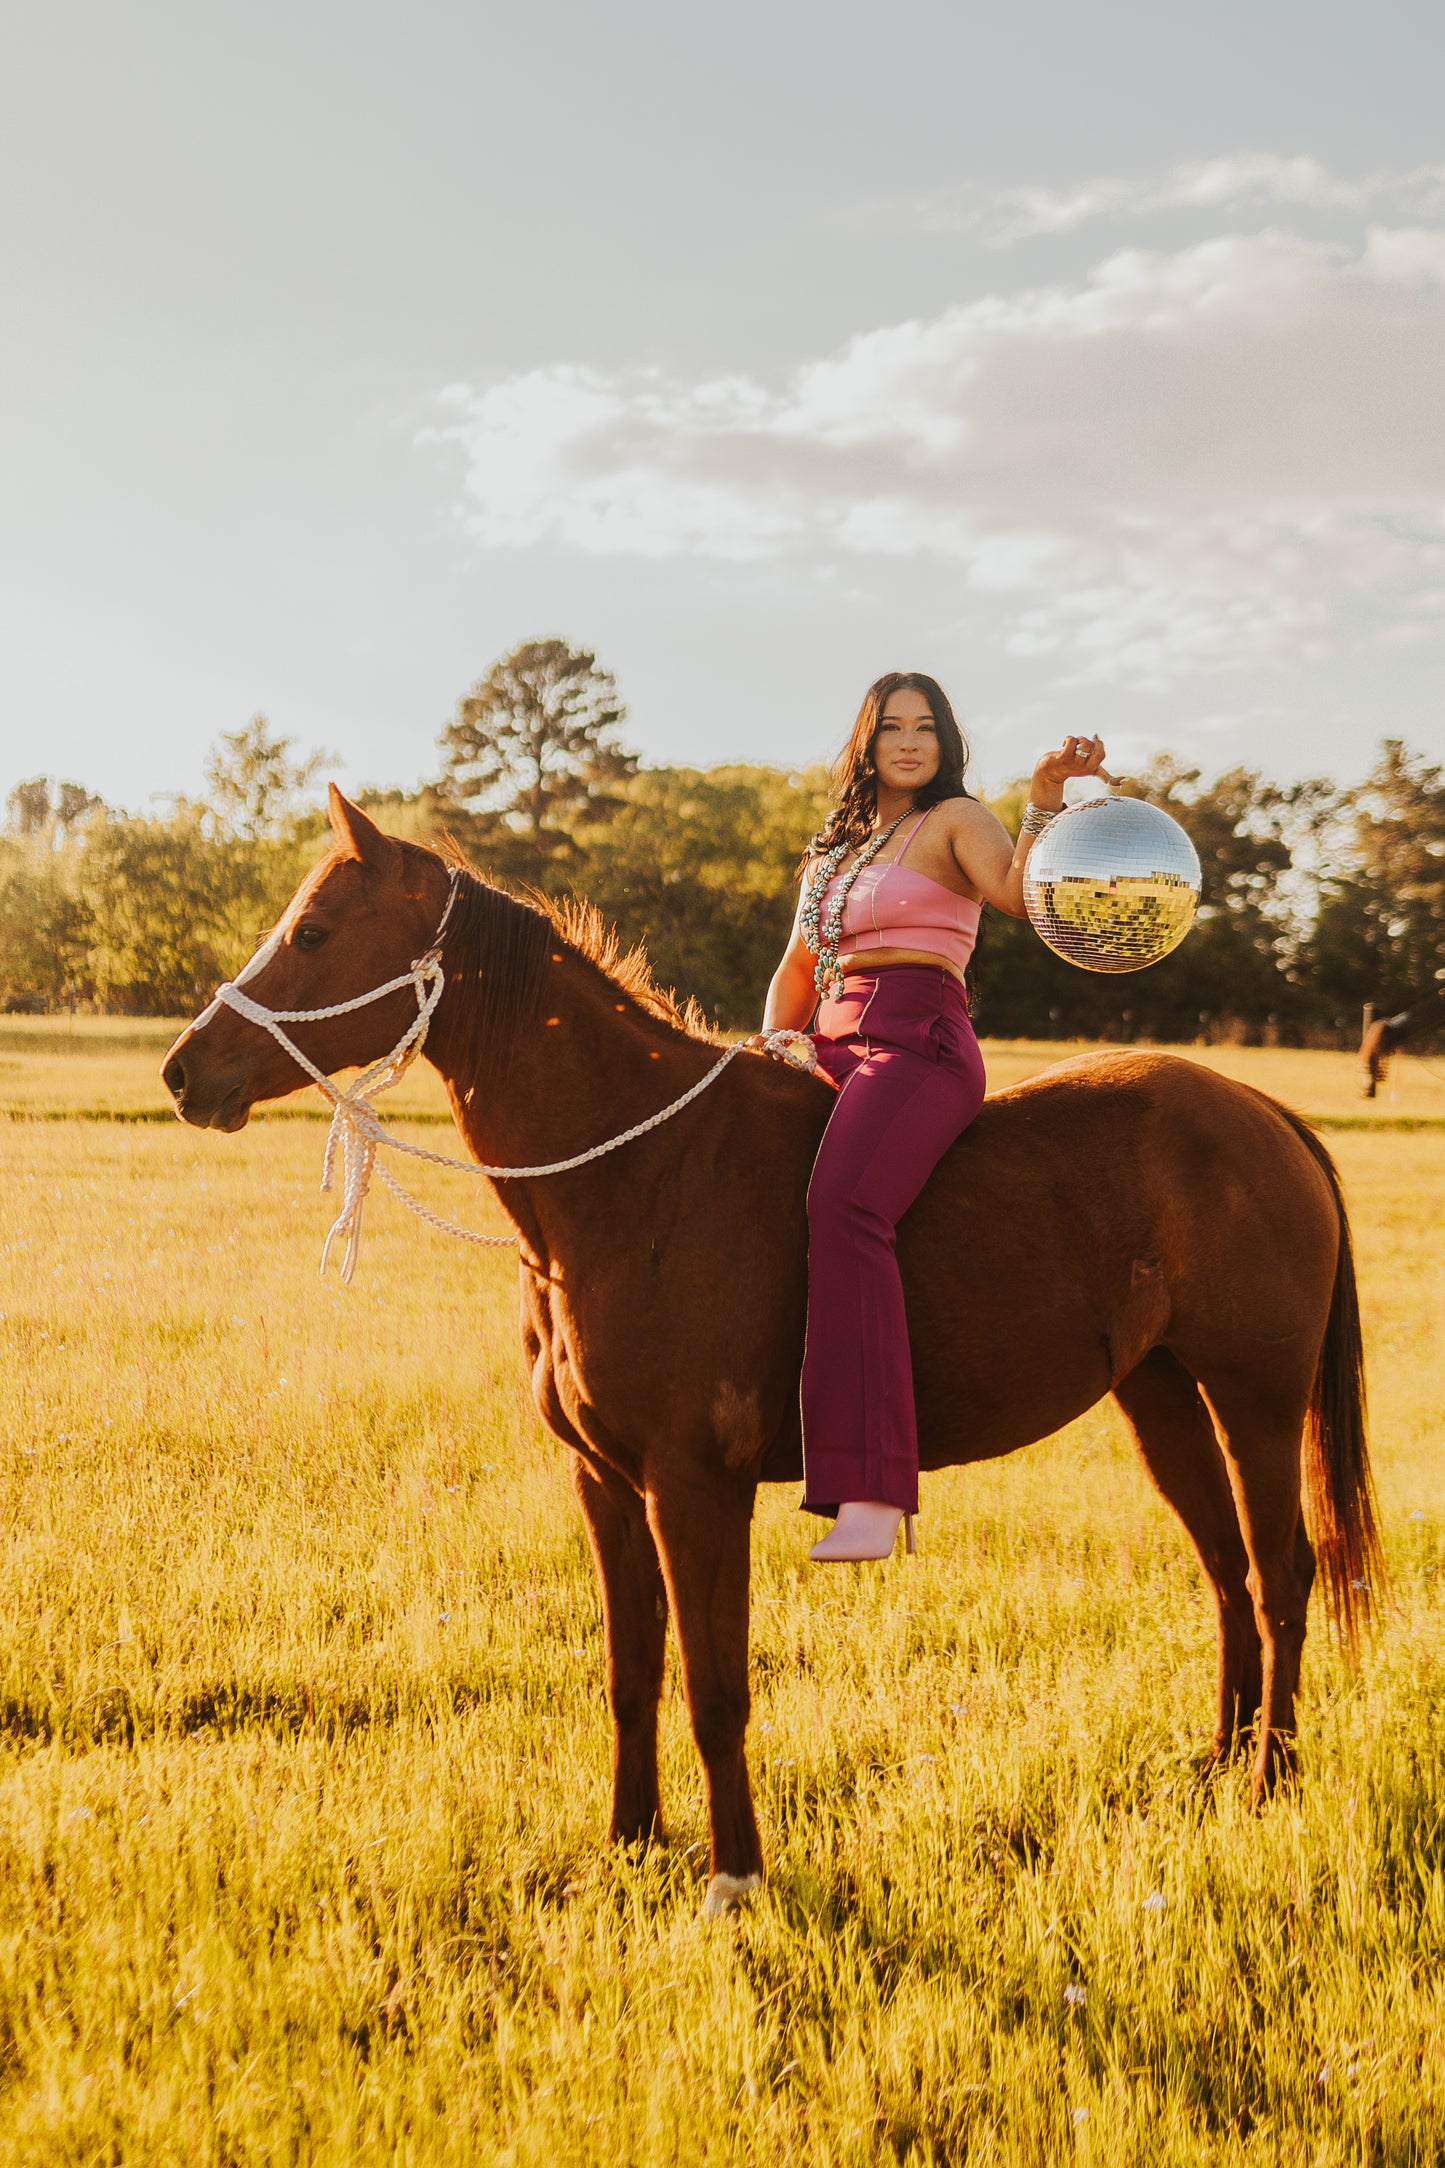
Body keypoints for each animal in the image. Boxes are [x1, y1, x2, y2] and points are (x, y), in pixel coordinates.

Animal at [161, 797, 1377, 1916]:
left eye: (312, 930)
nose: (182, 1071)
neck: (637, 1172)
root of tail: (1259, 1109)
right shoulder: (605, 1483)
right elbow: (631, 1672)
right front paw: (629, 1842)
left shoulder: (697, 1489)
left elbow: (713, 1687)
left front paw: (733, 1874)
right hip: (1159, 1397)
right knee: (1223, 1571)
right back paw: (1219, 1760)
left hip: (1256, 1403)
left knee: (1280, 1573)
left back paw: (1270, 1776)